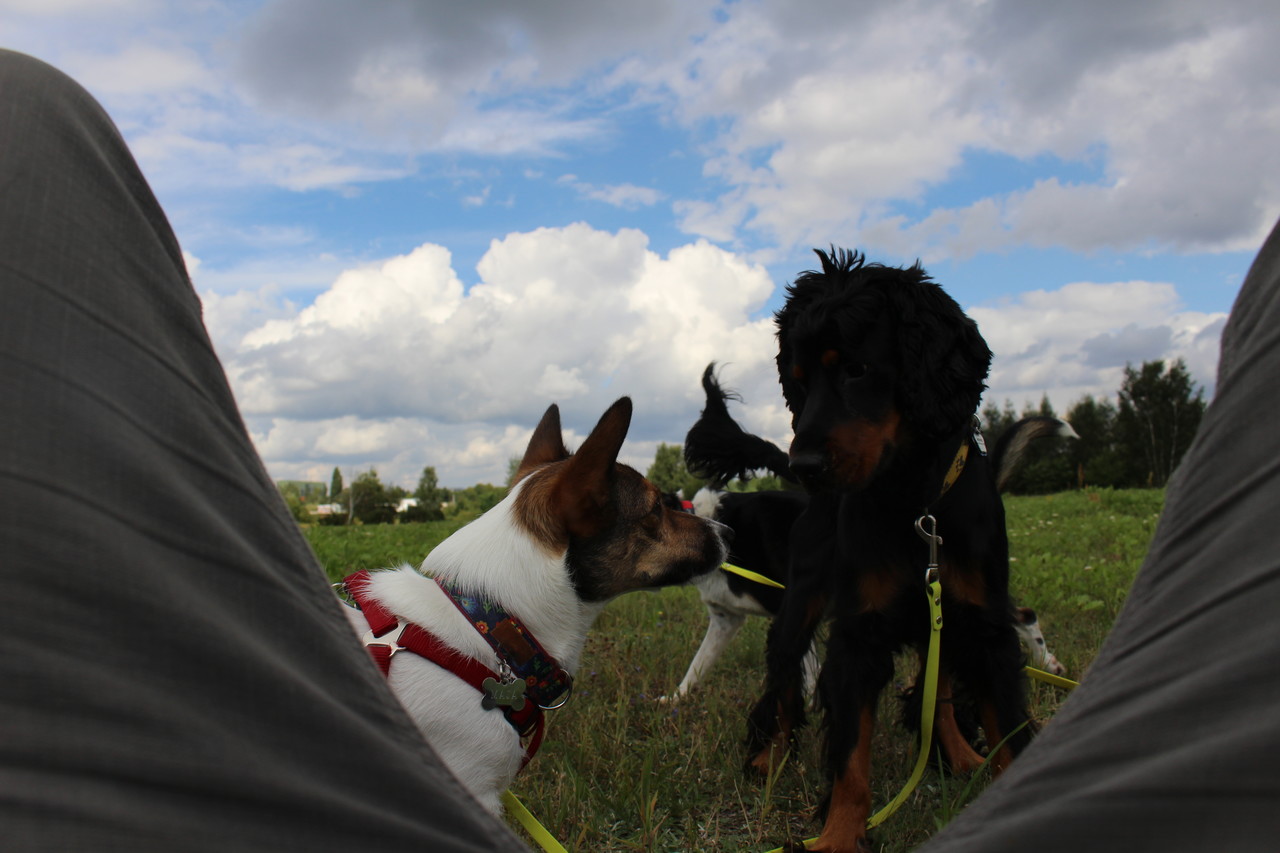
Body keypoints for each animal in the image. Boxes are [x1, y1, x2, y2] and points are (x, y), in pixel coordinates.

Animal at [669, 367, 1071, 701]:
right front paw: (673, 702)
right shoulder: (725, 619)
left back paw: (1047, 663)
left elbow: (804, 667)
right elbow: (696, 668)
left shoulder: (790, 599)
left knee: (1023, 615)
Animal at [689, 249, 1044, 852]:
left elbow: (1003, 730)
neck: (914, 504)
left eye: (855, 369)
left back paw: (958, 756)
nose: (806, 464)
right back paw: (764, 760)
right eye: (799, 381)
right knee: (781, 682)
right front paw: (837, 836)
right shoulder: (859, 633)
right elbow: (850, 757)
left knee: (935, 693)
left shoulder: (983, 623)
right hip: (802, 600)